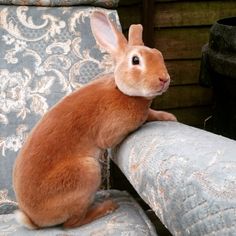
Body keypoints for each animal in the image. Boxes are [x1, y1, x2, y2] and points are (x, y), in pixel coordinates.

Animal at [12, 10, 176, 229]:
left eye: (158, 55)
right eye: (135, 61)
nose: (164, 79)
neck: (122, 90)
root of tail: (34, 220)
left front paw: (169, 117)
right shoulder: (113, 131)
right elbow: (139, 121)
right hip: (88, 171)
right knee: (72, 223)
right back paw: (106, 207)